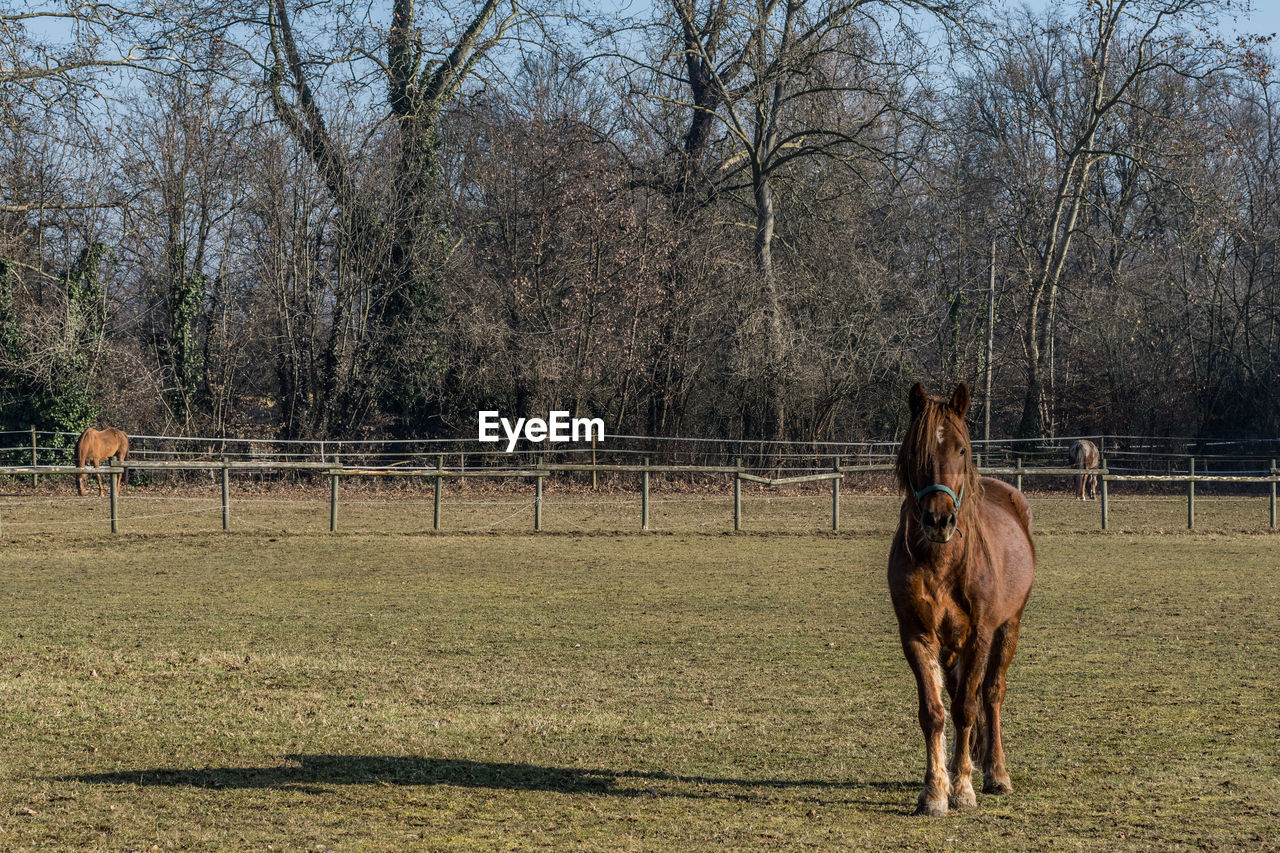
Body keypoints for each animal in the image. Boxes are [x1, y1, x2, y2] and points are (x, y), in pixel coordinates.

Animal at [890, 381, 1039, 814]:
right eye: (918, 451)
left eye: (960, 449)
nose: (939, 520)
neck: (942, 561)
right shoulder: (917, 636)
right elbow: (935, 712)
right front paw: (935, 791)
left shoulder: (979, 636)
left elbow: (968, 707)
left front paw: (963, 788)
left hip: (1008, 628)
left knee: (990, 695)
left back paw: (996, 773)